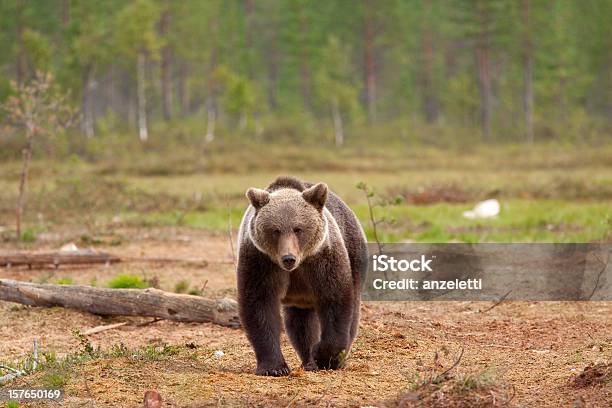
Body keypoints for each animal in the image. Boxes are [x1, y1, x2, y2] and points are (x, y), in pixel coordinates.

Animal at [237, 175, 366, 376]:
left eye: (298, 229)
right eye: (275, 230)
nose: (288, 258)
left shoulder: (321, 260)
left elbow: (335, 301)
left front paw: (324, 356)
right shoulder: (260, 261)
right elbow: (259, 304)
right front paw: (274, 367)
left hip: (354, 255)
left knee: (351, 314)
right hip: (299, 298)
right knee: (300, 323)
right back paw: (308, 360)